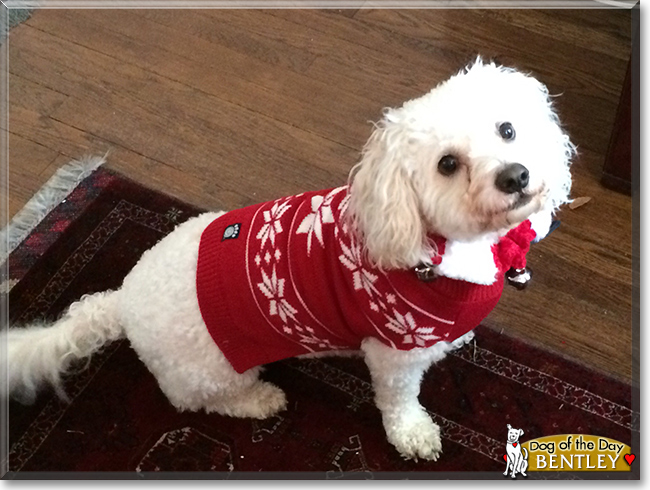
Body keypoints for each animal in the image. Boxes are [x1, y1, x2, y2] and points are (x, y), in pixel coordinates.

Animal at [5, 59, 572, 462]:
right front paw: (412, 434)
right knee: (199, 400)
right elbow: (399, 401)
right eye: (448, 164)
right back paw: (260, 401)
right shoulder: (392, 354)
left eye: (507, 130)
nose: (516, 176)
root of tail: (122, 300)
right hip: (210, 372)